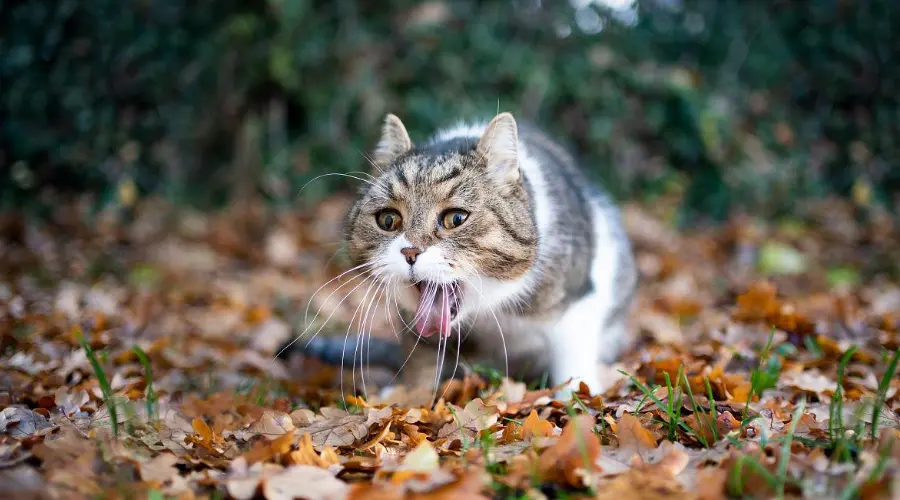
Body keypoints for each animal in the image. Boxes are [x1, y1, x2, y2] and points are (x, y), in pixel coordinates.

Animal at [284, 112, 636, 398]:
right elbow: (420, 358)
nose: (410, 251)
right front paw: (408, 398)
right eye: (388, 220)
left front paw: (576, 399)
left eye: (456, 218)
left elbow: (572, 359)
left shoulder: (577, 301)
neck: (490, 309)